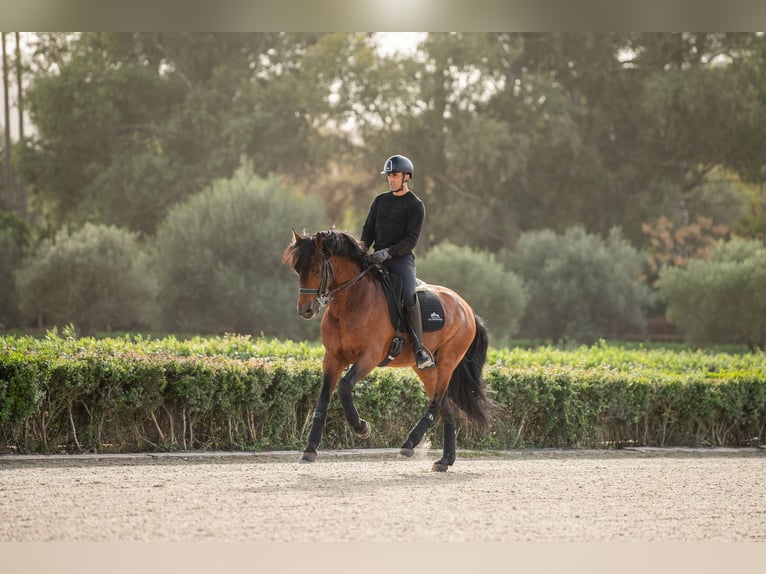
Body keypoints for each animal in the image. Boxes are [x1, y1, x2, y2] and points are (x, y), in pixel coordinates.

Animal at [284, 228, 492, 472]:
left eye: (316, 269)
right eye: (298, 270)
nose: (306, 310)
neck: (351, 301)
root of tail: (466, 309)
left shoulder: (370, 357)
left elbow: (344, 386)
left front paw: (361, 427)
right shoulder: (333, 357)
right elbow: (324, 397)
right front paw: (310, 449)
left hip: (448, 361)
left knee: (437, 402)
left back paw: (409, 444)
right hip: (425, 369)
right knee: (447, 408)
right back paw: (444, 460)